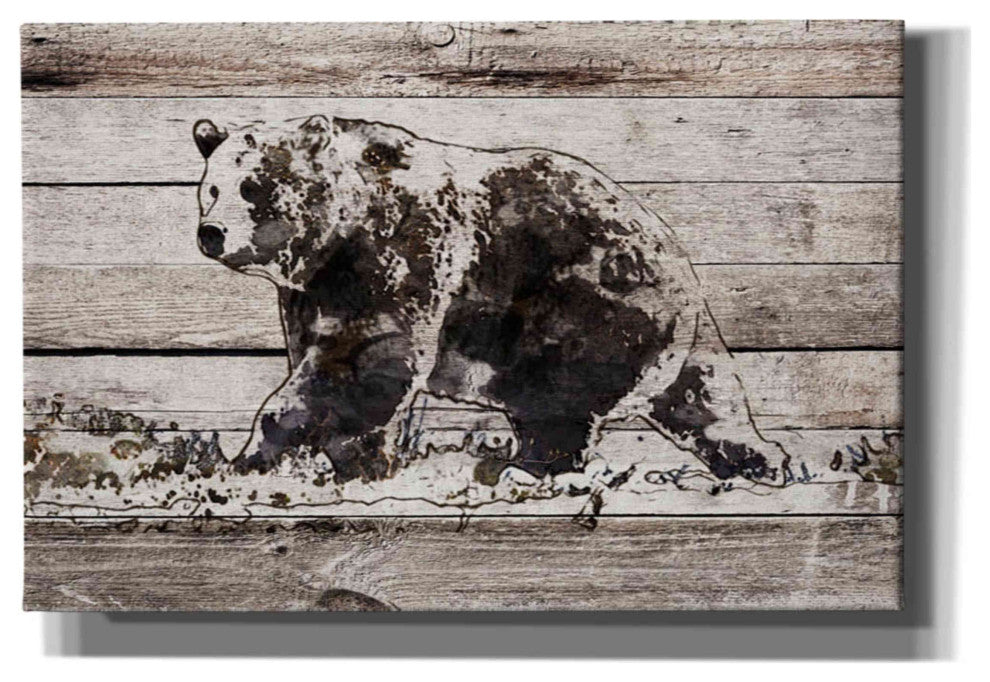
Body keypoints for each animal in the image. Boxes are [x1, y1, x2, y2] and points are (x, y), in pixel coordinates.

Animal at [193, 115, 792, 486]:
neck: (332, 241)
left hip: (581, 301)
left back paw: (526, 469)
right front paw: (361, 464)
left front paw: (249, 456)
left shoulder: (400, 257)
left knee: (559, 400)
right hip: (667, 329)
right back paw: (762, 462)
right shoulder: (309, 293)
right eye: (211, 188)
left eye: (253, 187)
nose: (211, 232)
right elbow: (337, 370)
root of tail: (671, 248)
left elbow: (361, 363)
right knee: (705, 395)